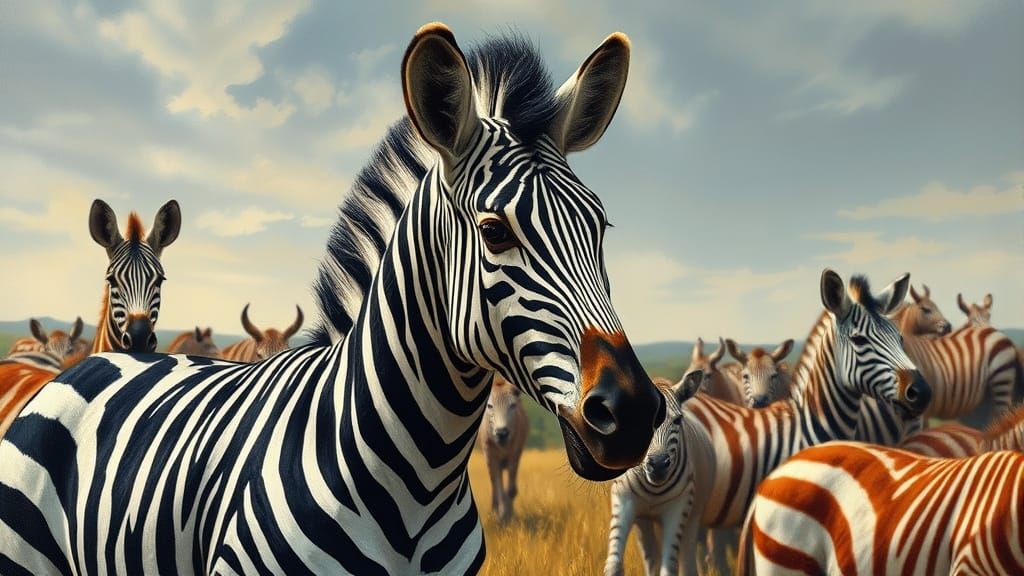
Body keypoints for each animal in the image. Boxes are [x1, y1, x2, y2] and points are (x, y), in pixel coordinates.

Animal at [477, 374, 529, 524]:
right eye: (490, 406)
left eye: (512, 405)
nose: (502, 433)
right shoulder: (490, 456)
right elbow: (498, 487)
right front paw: (501, 518)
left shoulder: (515, 454)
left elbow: (511, 490)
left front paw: (509, 516)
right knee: (495, 485)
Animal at [604, 370, 713, 576]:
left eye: (677, 420)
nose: (659, 464)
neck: (653, 489)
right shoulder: (623, 500)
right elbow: (614, 565)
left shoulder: (678, 507)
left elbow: (669, 568)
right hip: (644, 523)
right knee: (652, 559)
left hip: (693, 515)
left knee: (687, 562)